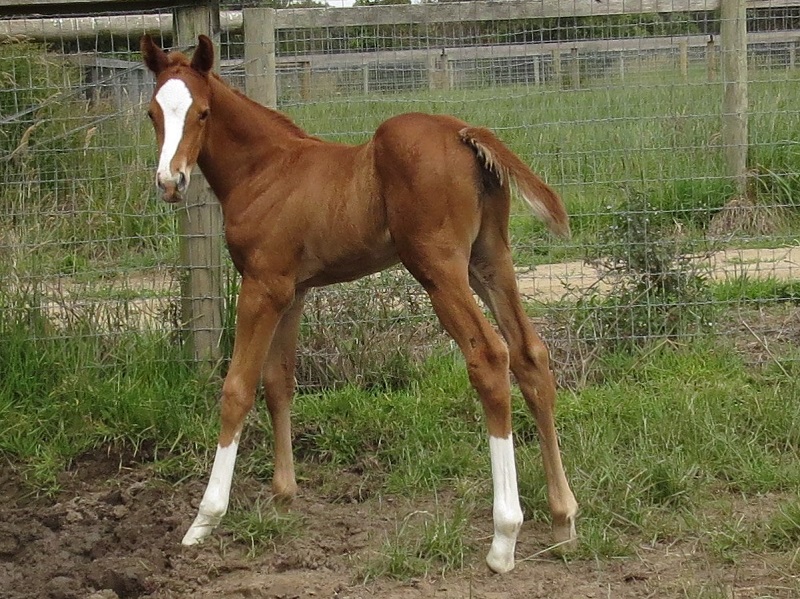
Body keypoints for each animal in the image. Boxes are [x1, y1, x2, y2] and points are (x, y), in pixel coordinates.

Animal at [140, 33, 578, 574]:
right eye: (153, 113)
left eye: (202, 113)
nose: (170, 182)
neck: (264, 171)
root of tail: (462, 132)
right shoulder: (293, 291)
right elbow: (278, 383)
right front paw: (283, 500)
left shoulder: (261, 287)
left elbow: (237, 388)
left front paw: (205, 519)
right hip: (490, 259)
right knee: (530, 354)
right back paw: (563, 519)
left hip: (439, 267)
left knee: (490, 357)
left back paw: (504, 538)